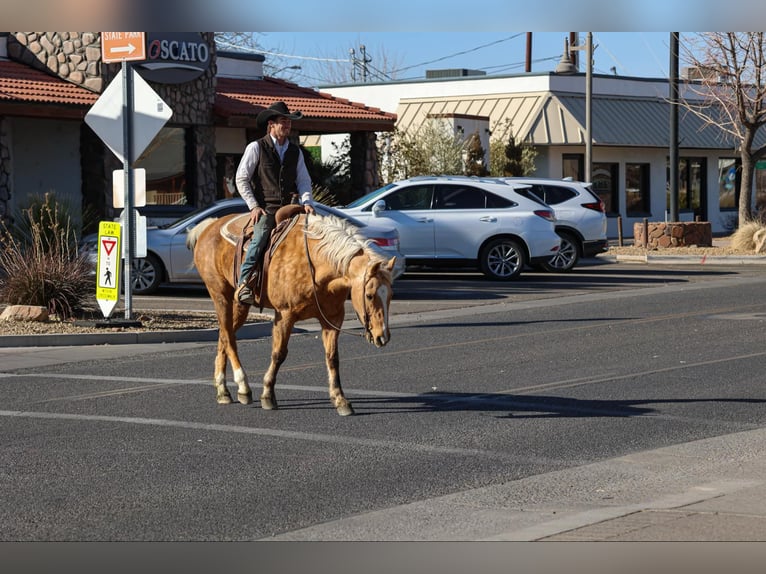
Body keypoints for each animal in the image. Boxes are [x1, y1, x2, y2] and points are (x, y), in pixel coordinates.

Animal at [186, 205, 398, 416]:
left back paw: (223, 390)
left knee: (224, 335)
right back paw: (243, 387)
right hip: (220, 295)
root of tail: (208, 226)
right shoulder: (284, 315)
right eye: (369, 295)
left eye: (390, 295)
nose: (383, 337)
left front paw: (340, 399)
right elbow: (278, 354)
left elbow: (332, 358)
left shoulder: (332, 319)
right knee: (229, 339)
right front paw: (268, 395)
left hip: (239, 305)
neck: (315, 264)